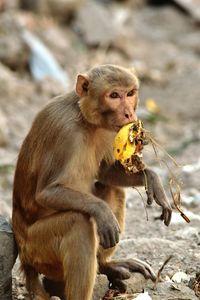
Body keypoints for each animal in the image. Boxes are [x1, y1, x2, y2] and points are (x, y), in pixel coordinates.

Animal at [12, 63, 172, 300]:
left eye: (130, 93)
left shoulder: (110, 131)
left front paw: (151, 178)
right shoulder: (66, 133)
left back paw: (105, 264)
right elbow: (47, 193)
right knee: (79, 224)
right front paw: (102, 211)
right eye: (114, 95)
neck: (85, 119)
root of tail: (24, 256)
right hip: (37, 249)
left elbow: (106, 172)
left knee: (115, 190)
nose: (129, 113)